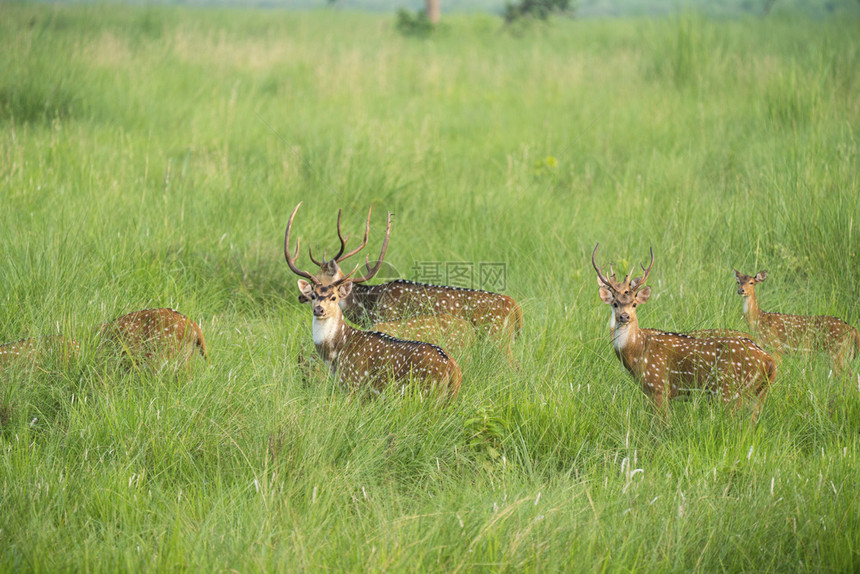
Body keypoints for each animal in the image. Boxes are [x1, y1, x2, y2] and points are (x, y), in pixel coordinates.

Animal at [288, 204, 464, 400]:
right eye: (313, 295)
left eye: (334, 297)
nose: (318, 309)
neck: (336, 354)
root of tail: (453, 370)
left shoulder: (353, 385)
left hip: (426, 394)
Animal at [596, 245, 776, 412]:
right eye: (615, 303)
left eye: (634, 303)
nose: (624, 316)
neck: (638, 350)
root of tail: (769, 360)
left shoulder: (659, 387)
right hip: (757, 394)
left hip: (730, 390)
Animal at [732, 272, 860, 372]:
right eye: (738, 282)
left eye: (751, 282)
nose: (741, 290)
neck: (759, 320)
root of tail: (853, 330)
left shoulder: (776, 346)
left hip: (837, 353)